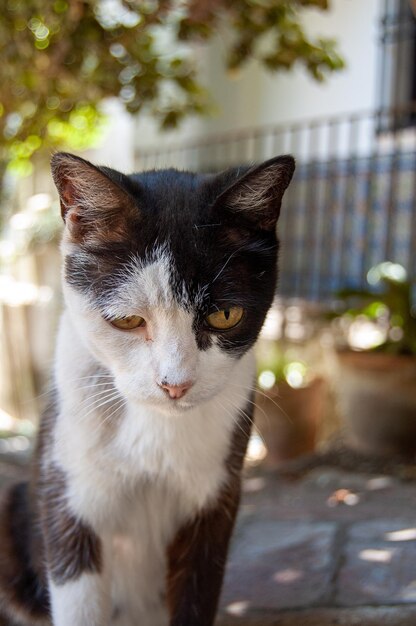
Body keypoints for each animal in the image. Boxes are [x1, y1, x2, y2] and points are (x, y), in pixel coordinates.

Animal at [0, 152, 294, 624]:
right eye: (125, 320)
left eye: (225, 315)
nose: (175, 384)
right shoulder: (65, 488)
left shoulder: (215, 499)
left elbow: (196, 594)